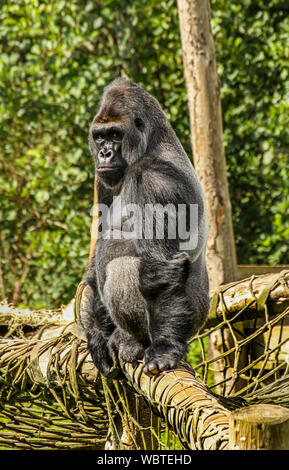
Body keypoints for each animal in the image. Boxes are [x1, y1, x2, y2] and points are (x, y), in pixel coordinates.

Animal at [81, 78, 209, 378]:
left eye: (116, 134)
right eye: (99, 136)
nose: (104, 153)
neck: (151, 144)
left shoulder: (154, 180)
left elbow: (160, 267)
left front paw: (165, 347)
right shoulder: (103, 179)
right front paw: (96, 336)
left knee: (123, 270)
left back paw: (134, 340)